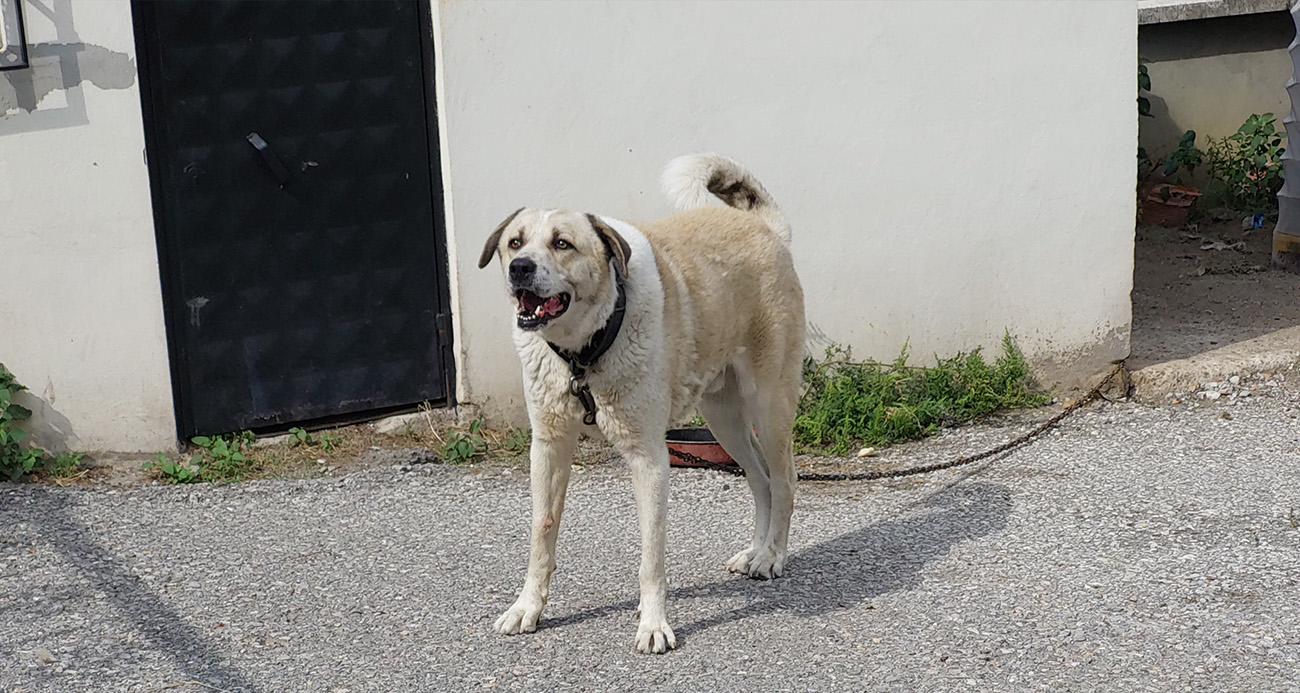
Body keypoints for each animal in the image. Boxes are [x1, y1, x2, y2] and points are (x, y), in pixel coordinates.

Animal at [478, 152, 800, 652]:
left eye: (562, 243)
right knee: (761, 481)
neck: (583, 353)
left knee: (784, 483)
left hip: (768, 407)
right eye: (515, 243)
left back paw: (772, 557)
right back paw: (756, 550)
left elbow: (651, 553)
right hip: (723, 419)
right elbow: (542, 532)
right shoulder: (548, 448)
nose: (520, 269)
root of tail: (765, 228)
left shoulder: (649, 458)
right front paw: (527, 607)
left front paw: (652, 624)